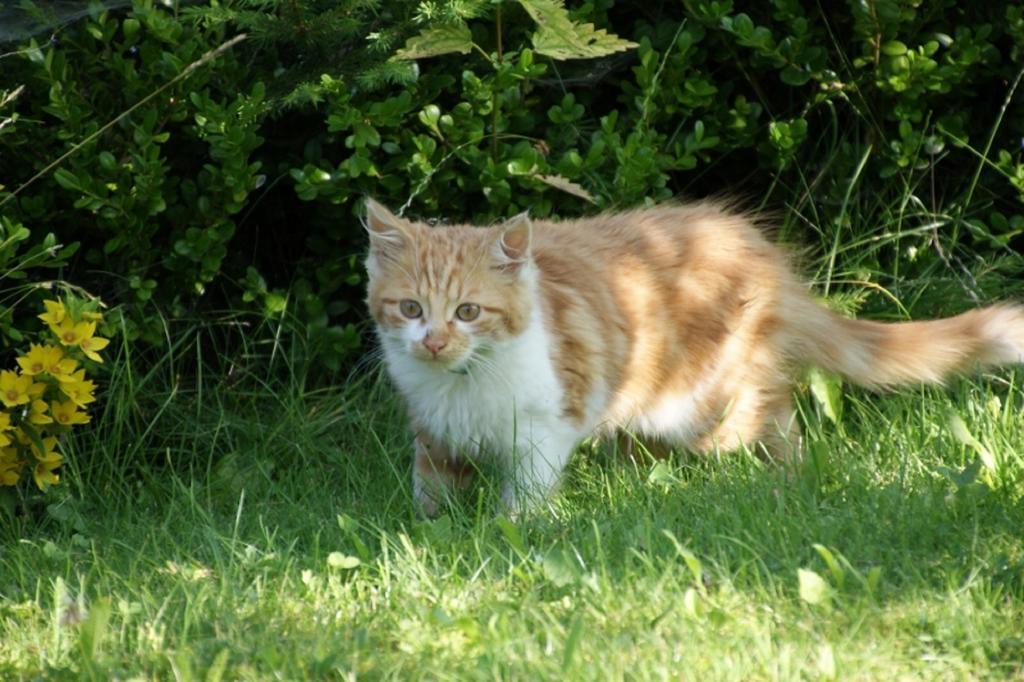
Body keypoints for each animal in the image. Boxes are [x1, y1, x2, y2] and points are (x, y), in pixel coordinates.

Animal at [366, 197, 1024, 516]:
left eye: (468, 312)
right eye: (411, 309)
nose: (433, 341)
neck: (462, 382)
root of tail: (764, 255)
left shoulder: (545, 425)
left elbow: (526, 493)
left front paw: (514, 529)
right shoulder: (433, 430)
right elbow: (432, 491)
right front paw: (433, 529)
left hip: (712, 403)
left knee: (776, 417)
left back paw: (790, 482)